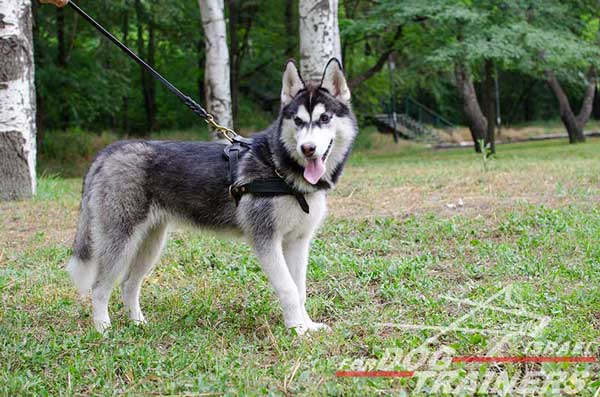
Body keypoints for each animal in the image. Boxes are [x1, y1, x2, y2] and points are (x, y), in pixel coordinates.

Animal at [67, 57, 356, 332]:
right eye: (298, 121)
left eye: (325, 118)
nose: (308, 148)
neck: (280, 168)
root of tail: (108, 152)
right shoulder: (266, 240)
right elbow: (288, 289)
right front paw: (296, 329)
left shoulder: (297, 242)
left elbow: (300, 290)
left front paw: (307, 326)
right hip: (121, 240)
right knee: (99, 286)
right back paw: (103, 330)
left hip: (150, 243)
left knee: (128, 284)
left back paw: (138, 324)